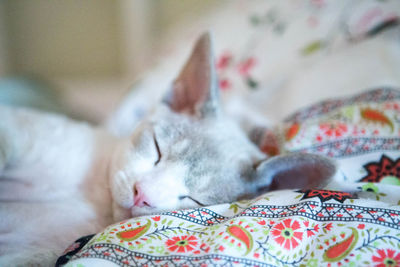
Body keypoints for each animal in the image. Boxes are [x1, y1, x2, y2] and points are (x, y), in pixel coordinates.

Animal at [0, 33, 338, 266]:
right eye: (157, 149)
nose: (142, 195)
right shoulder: (16, 131)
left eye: (192, 199)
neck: (95, 195)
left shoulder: (31, 253)